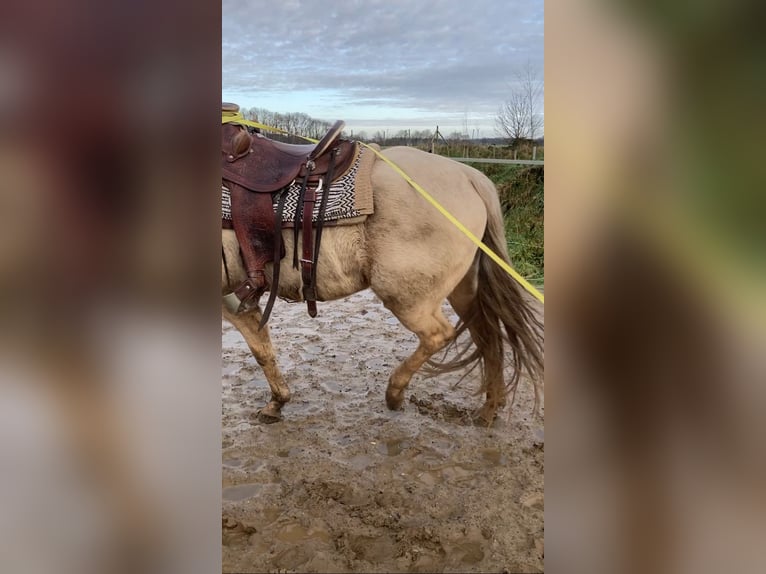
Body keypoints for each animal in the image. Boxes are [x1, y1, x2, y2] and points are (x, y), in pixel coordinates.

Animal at [222, 146, 544, 426]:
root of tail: (469, 176)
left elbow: (258, 347)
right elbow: (262, 348)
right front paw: (277, 402)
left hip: (407, 297)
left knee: (440, 335)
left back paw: (395, 393)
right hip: (463, 290)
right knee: (488, 336)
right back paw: (489, 409)